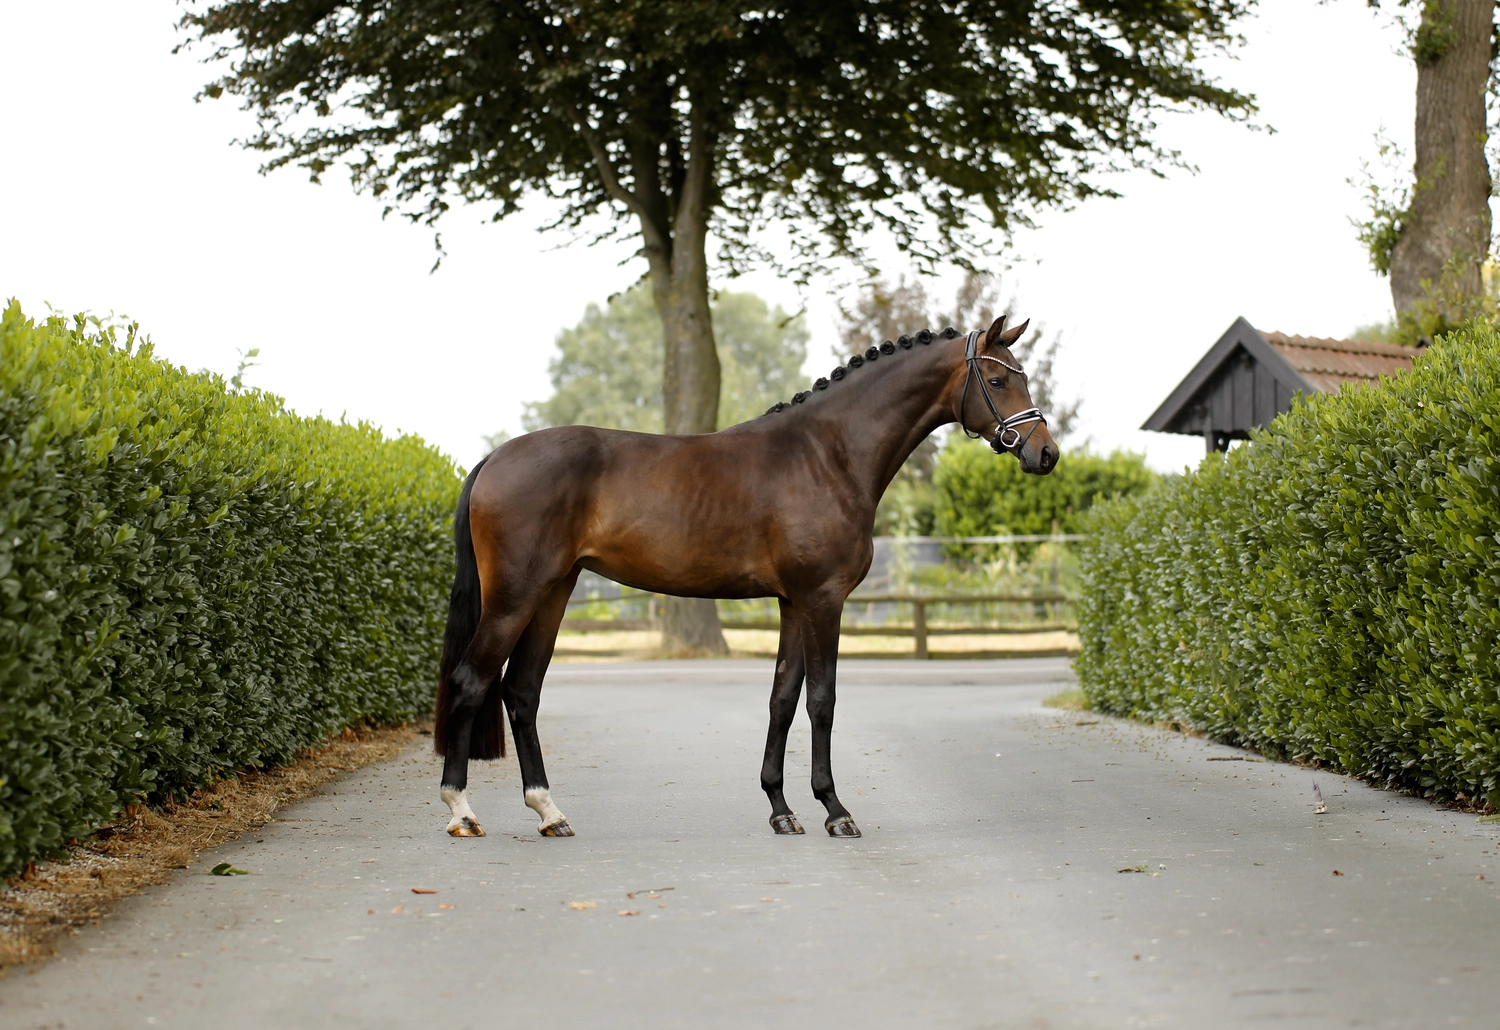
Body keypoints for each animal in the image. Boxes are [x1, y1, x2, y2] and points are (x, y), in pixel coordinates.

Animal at [434, 315, 1058, 839]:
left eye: (1023, 377)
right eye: (998, 381)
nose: (1045, 453)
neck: (826, 455)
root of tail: (493, 460)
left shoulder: (793, 603)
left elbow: (783, 697)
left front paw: (782, 810)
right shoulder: (823, 600)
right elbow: (822, 699)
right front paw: (835, 810)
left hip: (553, 594)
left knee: (521, 691)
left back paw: (549, 811)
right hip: (514, 598)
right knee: (471, 680)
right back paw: (461, 811)